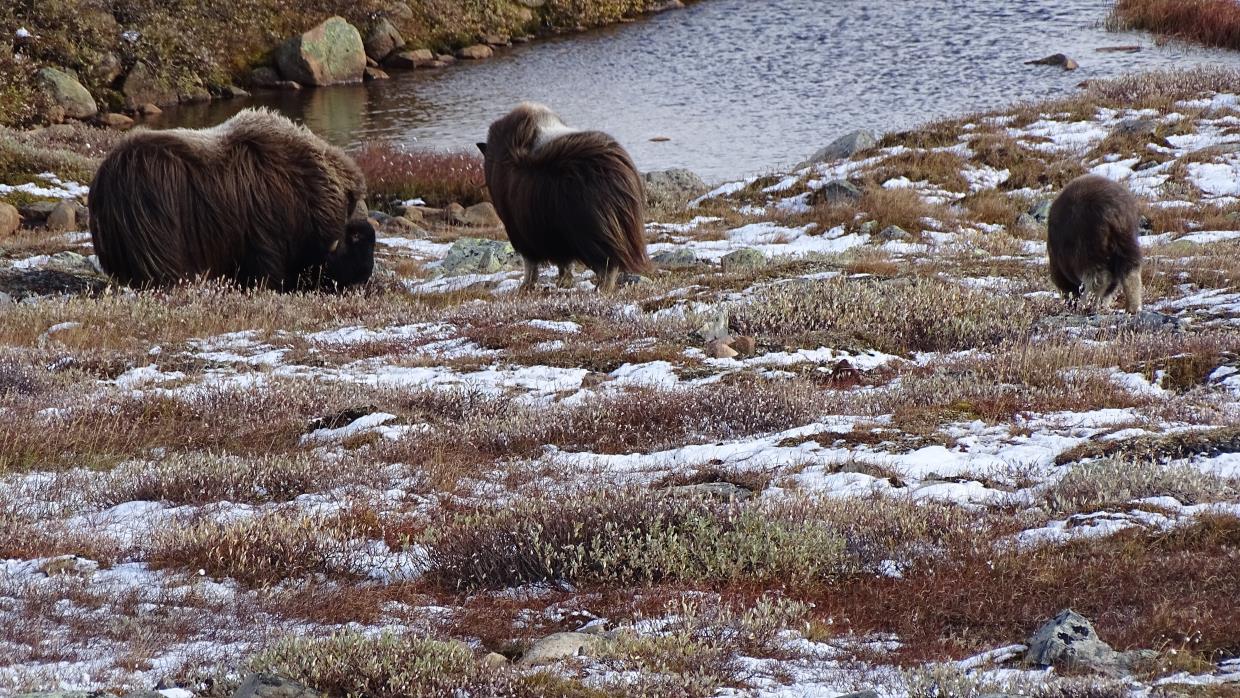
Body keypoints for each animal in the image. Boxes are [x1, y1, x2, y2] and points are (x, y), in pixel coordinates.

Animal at [476, 101, 649, 292]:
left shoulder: (521, 231)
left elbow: (531, 262)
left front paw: (527, 285)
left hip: (591, 235)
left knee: (607, 265)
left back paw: (600, 289)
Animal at [1046, 174, 1140, 313]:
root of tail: (1114, 212)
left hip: (1088, 244)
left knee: (1099, 277)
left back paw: (1087, 304)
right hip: (1126, 239)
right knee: (1130, 271)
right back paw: (1133, 307)